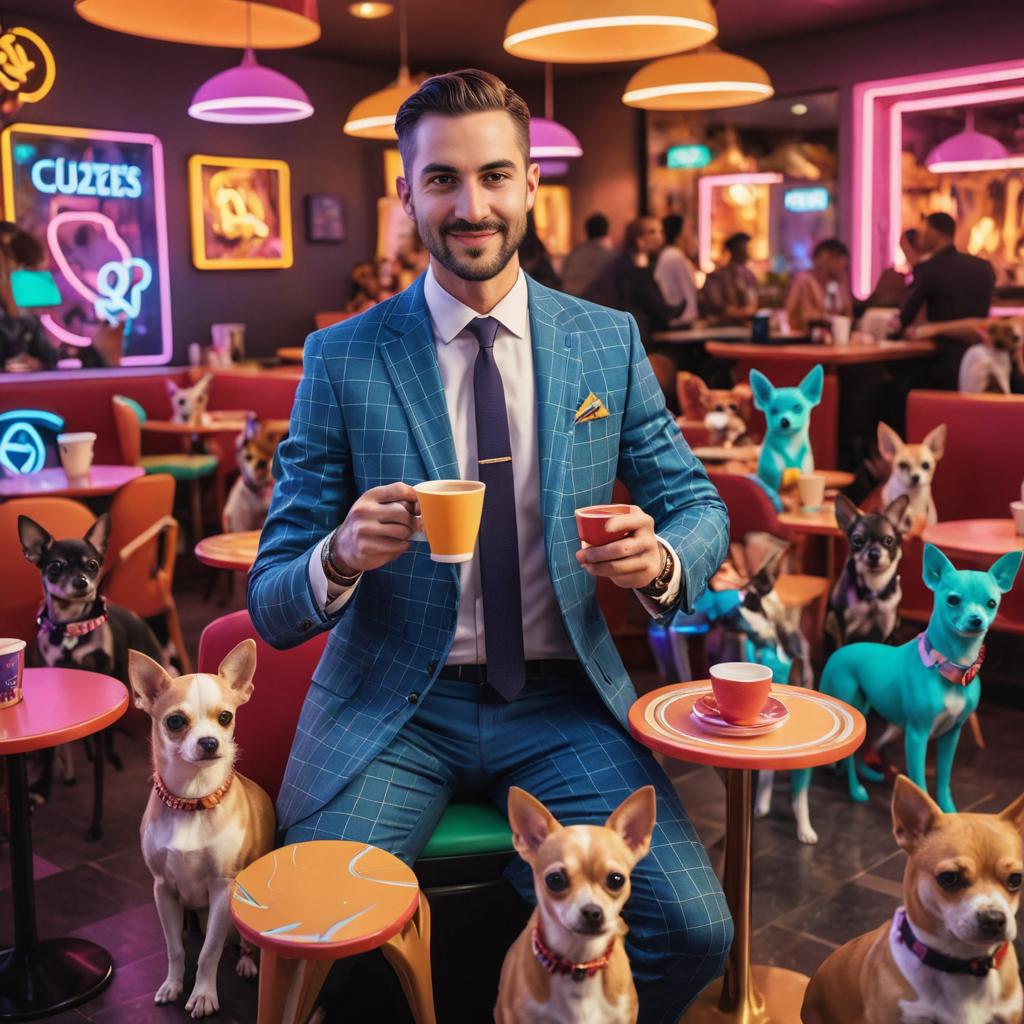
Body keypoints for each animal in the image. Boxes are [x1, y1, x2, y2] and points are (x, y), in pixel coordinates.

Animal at [753, 364, 823, 495]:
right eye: (774, 411)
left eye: (798, 408)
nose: (784, 421)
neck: (790, 444)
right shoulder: (773, 479)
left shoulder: (805, 475)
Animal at [790, 544, 1015, 839]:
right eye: (953, 600)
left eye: (991, 603)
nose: (977, 620)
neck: (950, 666)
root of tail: (840, 651)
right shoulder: (917, 736)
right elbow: (919, 782)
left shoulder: (951, 734)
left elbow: (943, 780)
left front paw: (950, 812)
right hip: (858, 710)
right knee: (850, 759)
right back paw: (856, 790)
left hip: (887, 723)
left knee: (871, 746)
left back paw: (870, 773)